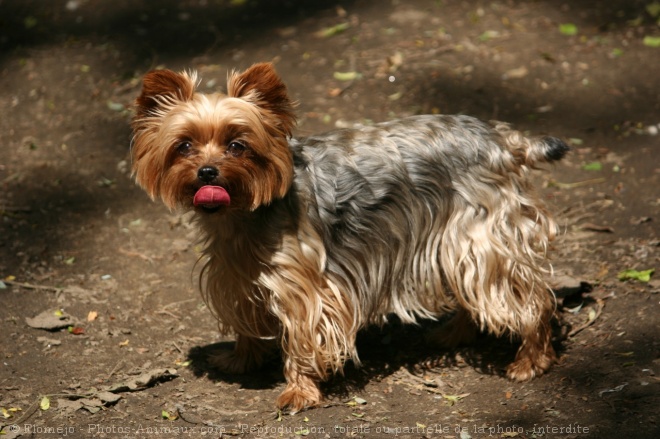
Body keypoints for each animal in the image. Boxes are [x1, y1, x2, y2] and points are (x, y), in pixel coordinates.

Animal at [130, 63, 568, 414]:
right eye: (184, 145)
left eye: (238, 145)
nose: (207, 172)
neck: (239, 216)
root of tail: (500, 137)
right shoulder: (236, 273)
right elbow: (244, 318)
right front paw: (241, 358)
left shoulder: (304, 287)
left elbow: (303, 337)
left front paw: (299, 391)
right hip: (455, 238)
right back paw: (451, 334)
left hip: (481, 232)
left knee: (531, 298)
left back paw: (530, 361)